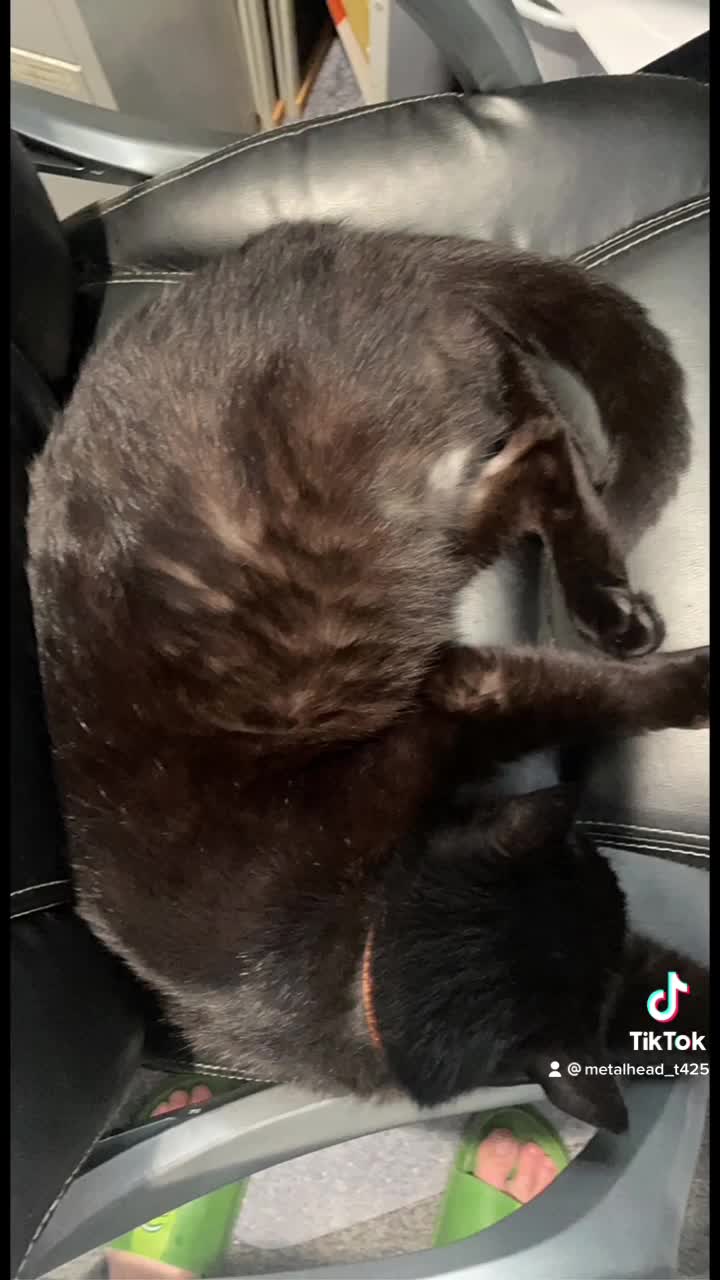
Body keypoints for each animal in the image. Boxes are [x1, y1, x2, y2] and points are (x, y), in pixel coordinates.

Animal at [27, 222, 708, 1131]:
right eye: (596, 870)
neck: (358, 962)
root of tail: (353, 244)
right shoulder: (466, 697)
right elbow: (586, 699)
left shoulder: (453, 706)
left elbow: (591, 694)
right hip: (433, 526)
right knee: (534, 447)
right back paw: (608, 607)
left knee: (538, 431)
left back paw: (610, 607)